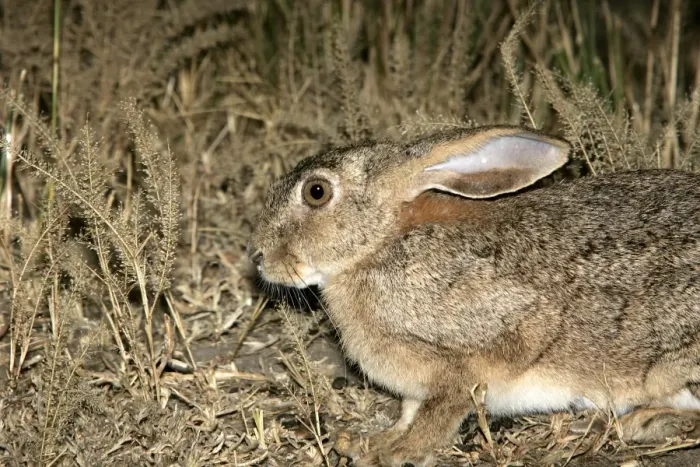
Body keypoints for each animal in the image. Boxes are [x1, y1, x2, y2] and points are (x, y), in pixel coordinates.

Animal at [247, 125, 700, 467]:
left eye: (316, 192)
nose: (258, 257)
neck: (381, 243)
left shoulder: (480, 348)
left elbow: (441, 410)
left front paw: (398, 452)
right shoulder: (417, 385)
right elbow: (410, 409)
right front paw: (376, 441)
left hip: (669, 365)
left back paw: (642, 423)